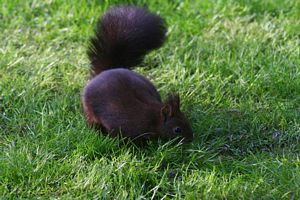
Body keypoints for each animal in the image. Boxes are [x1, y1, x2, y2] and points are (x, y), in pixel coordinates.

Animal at [82, 5, 195, 142]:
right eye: (177, 130)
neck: (153, 118)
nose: (191, 138)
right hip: (89, 110)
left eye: (186, 120)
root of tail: (104, 71)